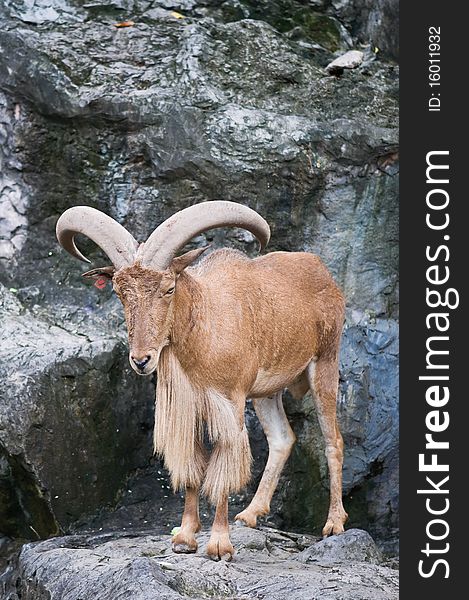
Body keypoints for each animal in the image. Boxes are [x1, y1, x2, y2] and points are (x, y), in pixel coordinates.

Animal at [56, 203, 346, 564]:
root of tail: (323, 271)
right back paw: (251, 514)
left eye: (169, 288)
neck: (204, 329)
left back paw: (334, 524)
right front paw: (184, 538)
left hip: (325, 363)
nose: (141, 360)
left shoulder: (230, 404)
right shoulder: (190, 408)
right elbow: (193, 468)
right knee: (282, 438)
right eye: (120, 293)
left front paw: (219, 545)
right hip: (266, 391)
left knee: (333, 441)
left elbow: (223, 468)